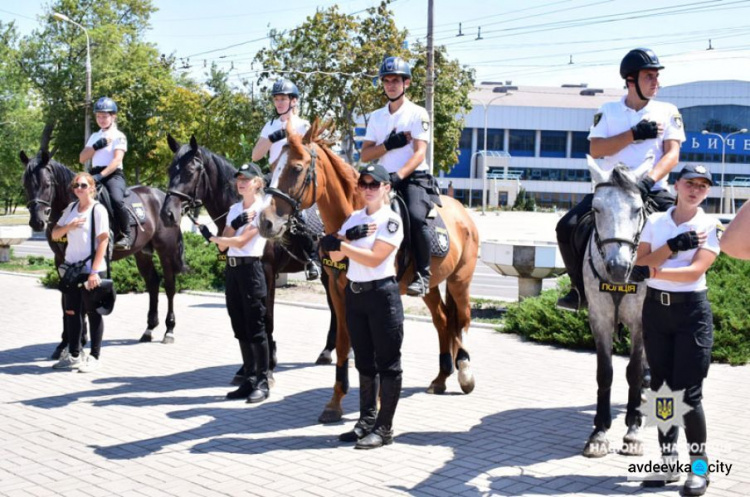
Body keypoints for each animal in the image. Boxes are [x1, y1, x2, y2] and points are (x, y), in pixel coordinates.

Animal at [21, 148, 186, 352]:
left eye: (47, 184)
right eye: (26, 184)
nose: (37, 222)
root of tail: (162, 196)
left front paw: (79, 341)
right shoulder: (61, 260)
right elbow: (66, 300)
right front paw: (65, 343)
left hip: (165, 251)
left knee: (169, 286)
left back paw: (169, 330)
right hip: (142, 253)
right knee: (153, 283)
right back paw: (149, 329)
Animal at [162, 134, 338, 370]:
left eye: (190, 171)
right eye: (170, 170)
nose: (167, 214)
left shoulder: (267, 272)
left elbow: (267, 316)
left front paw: (269, 361)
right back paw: (327, 351)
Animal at [258, 121, 482, 422]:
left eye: (296, 168)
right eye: (273, 166)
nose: (266, 222)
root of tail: (462, 211)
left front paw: (375, 404)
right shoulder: (339, 291)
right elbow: (344, 343)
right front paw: (335, 402)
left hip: (460, 281)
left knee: (464, 320)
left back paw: (465, 373)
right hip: (431, 286)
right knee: (444, 320)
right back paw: (441, 377)